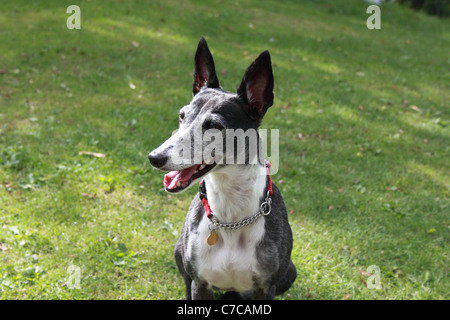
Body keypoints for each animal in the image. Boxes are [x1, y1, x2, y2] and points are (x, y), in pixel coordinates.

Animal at [148, 37, 296, 300]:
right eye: (182, 115)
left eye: (214, 125)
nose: (155, 157)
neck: (230, 216)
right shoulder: (200, 283)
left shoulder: (266, 288)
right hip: (179, 252)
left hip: (290, 271)